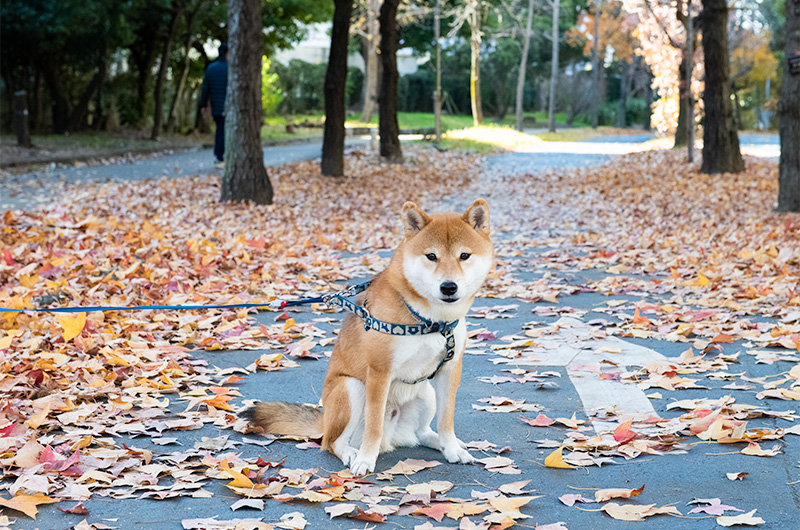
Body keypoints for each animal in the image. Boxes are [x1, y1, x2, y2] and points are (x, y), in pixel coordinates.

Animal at [245, 199, 494, 474]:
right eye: (431, 256)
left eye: (464, 256)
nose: (448, 287)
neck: (429, 320)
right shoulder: (379, 372)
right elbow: (373, 426)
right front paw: (365, 459)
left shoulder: (450, 368)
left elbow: (446, 419)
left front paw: (451, 448)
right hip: (353, 388)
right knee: (332, 442)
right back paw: (351, 453)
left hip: (426, 394)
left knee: (422, 433)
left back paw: (439, 442)